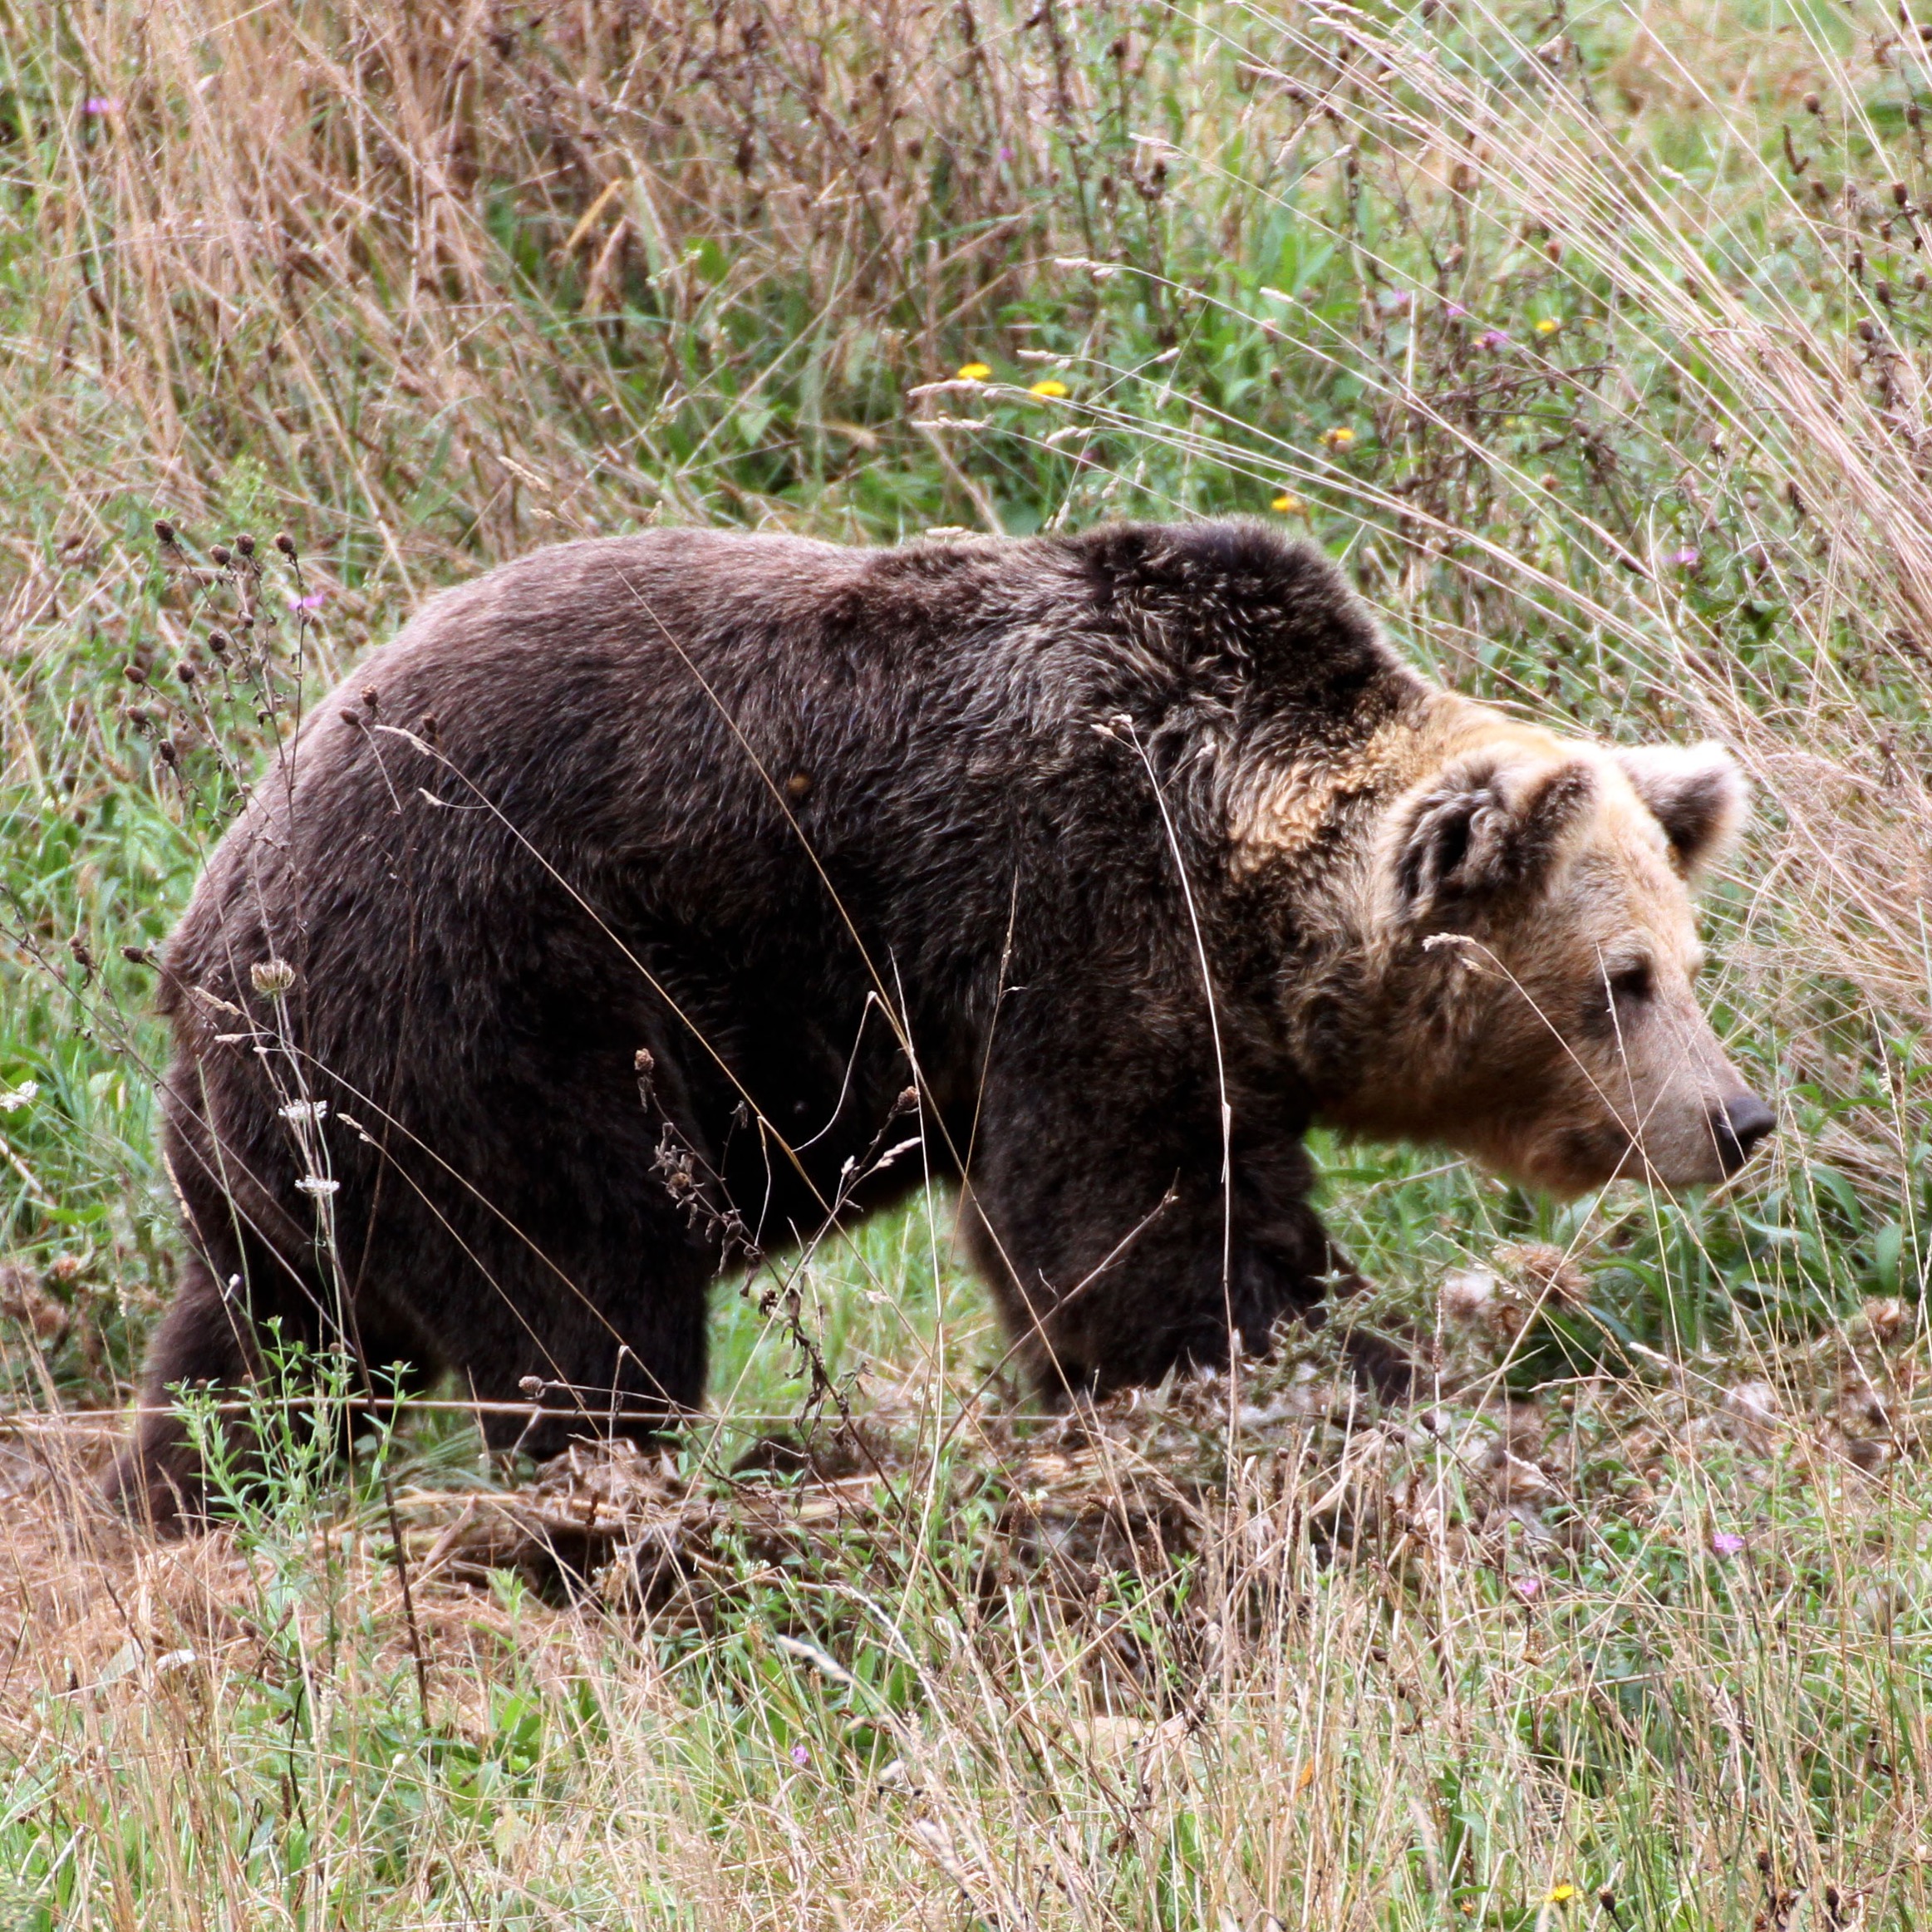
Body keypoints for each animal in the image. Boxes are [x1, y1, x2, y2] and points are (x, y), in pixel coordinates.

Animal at [101, 518, 1769, 1522]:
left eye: (1691, 958)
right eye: (1622, 978)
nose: (1739, 1117)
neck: (1243, 865)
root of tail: (206, 935)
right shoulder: (1076, 915)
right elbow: (1123, 1232)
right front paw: (1346, 1372)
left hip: (294, 1146)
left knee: (261, 1349)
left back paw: (180, 1503)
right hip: (491, 1015)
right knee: (584, 1308)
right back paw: (615, 1500)